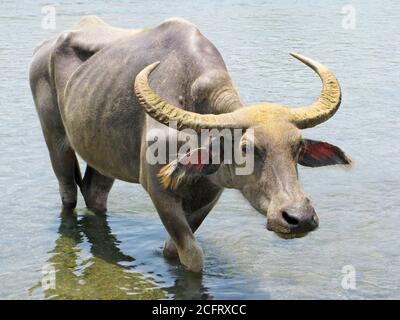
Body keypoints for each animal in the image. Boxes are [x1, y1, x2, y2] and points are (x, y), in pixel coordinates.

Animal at [30, 16, 350, 272]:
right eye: (247, 148)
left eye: (298, 147)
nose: (299, 217)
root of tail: (42, 50)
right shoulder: (160, 192)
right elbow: (193, 257)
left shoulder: (208, 195)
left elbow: (174, 251)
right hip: (55, 139)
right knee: (68, 192)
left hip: (104, 154)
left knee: (95, 193)